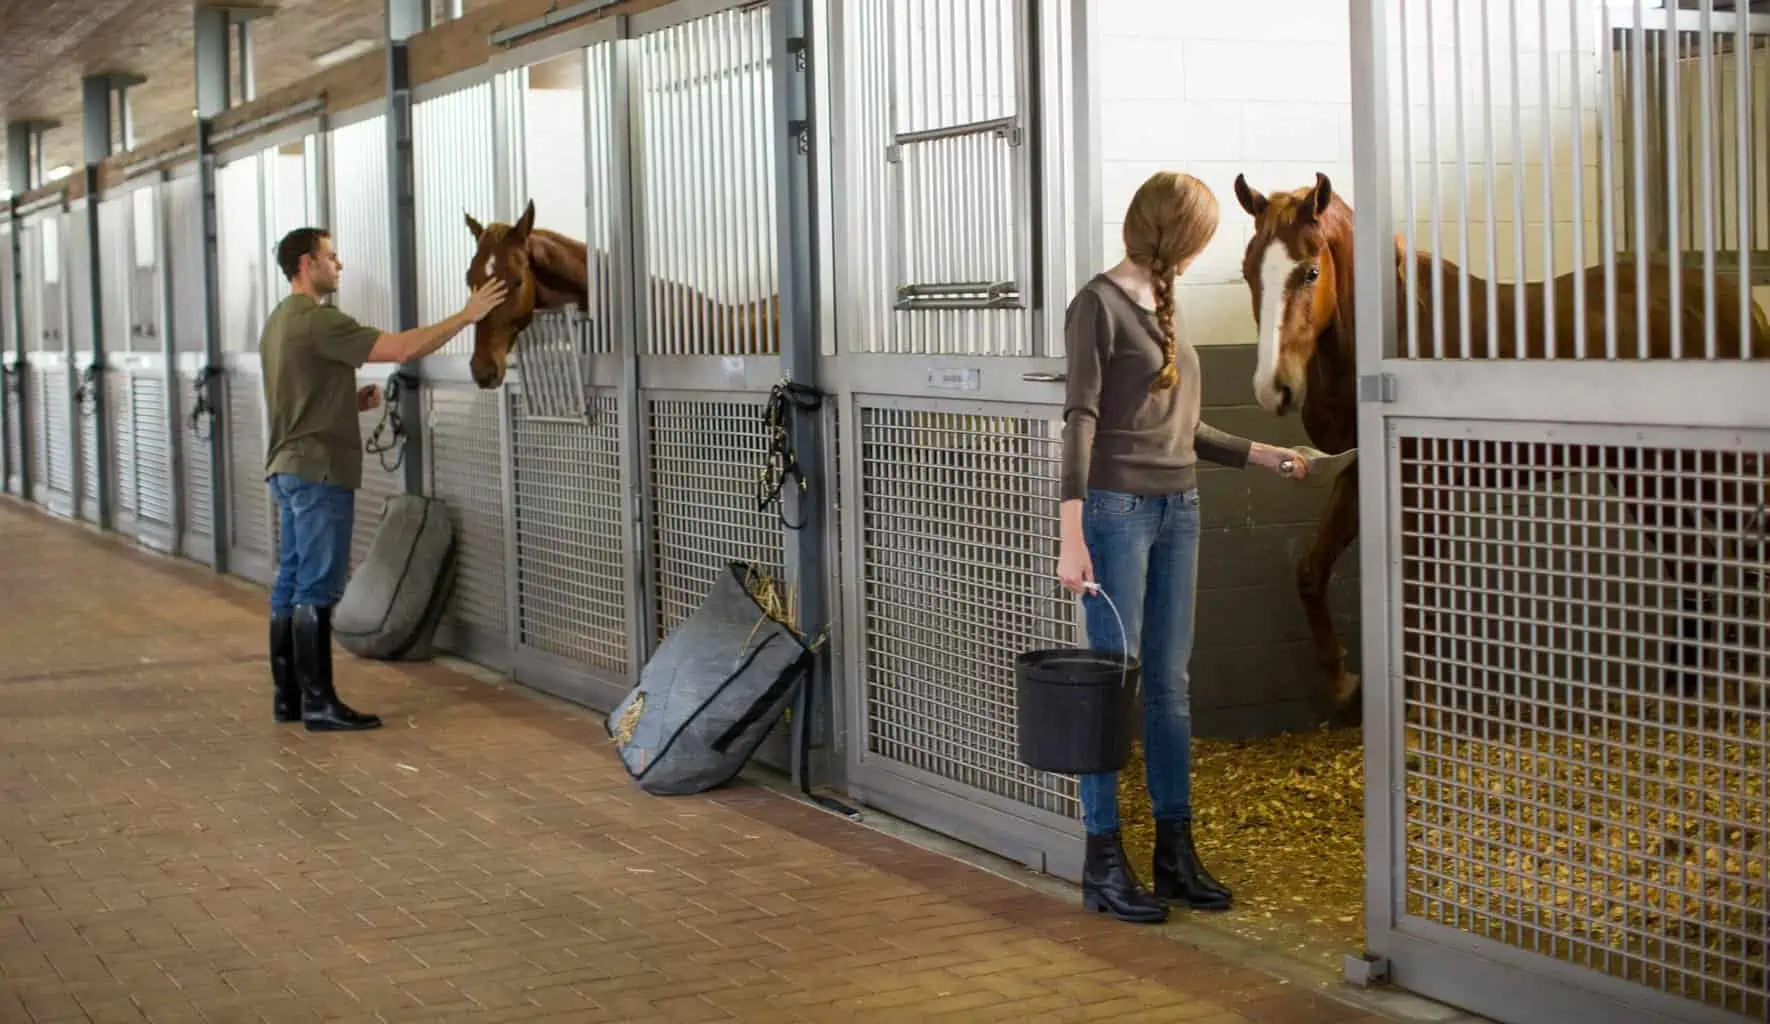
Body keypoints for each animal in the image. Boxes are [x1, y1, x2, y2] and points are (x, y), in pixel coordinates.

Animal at [1231, 172, 1770, 725]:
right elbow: (1311, 572)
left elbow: (1417, 594)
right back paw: (1678, 696)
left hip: (1714, 468)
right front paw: (1343, 684)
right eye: (1249, 271)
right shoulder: (1358, 474)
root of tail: (1741, 306)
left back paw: (1746, 685)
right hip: (1648, 469)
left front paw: (1421, 715)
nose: (1274, 389)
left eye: (1311, 271)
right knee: (1694, 563)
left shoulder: (1419, 484)